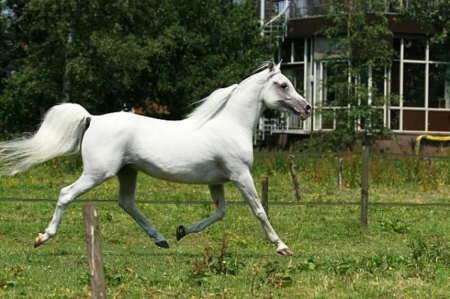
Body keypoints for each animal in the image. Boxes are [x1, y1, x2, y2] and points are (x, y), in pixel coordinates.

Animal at [0, 62, 310, 256]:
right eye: (283, 85)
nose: (306, 108)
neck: (230, 125)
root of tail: (92, 118)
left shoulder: (218, 181)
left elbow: (220, 212)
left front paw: (182, 231)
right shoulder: (240, 175)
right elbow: (258, 210)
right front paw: (282, 247)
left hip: (127, 171)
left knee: (127, 203)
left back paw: (161, 239)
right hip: (98, 173)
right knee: (66, 194)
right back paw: (42, 237)